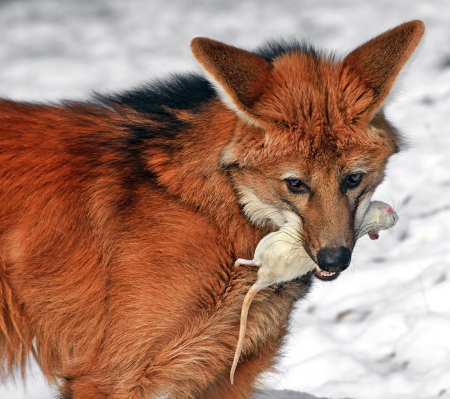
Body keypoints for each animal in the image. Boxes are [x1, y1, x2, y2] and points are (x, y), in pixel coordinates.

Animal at [0, 20, 422, 398]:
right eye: (295, 184)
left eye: (352, 179)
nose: (335, 258)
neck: (222, 214)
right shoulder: (108, 375)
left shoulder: (223, 373)